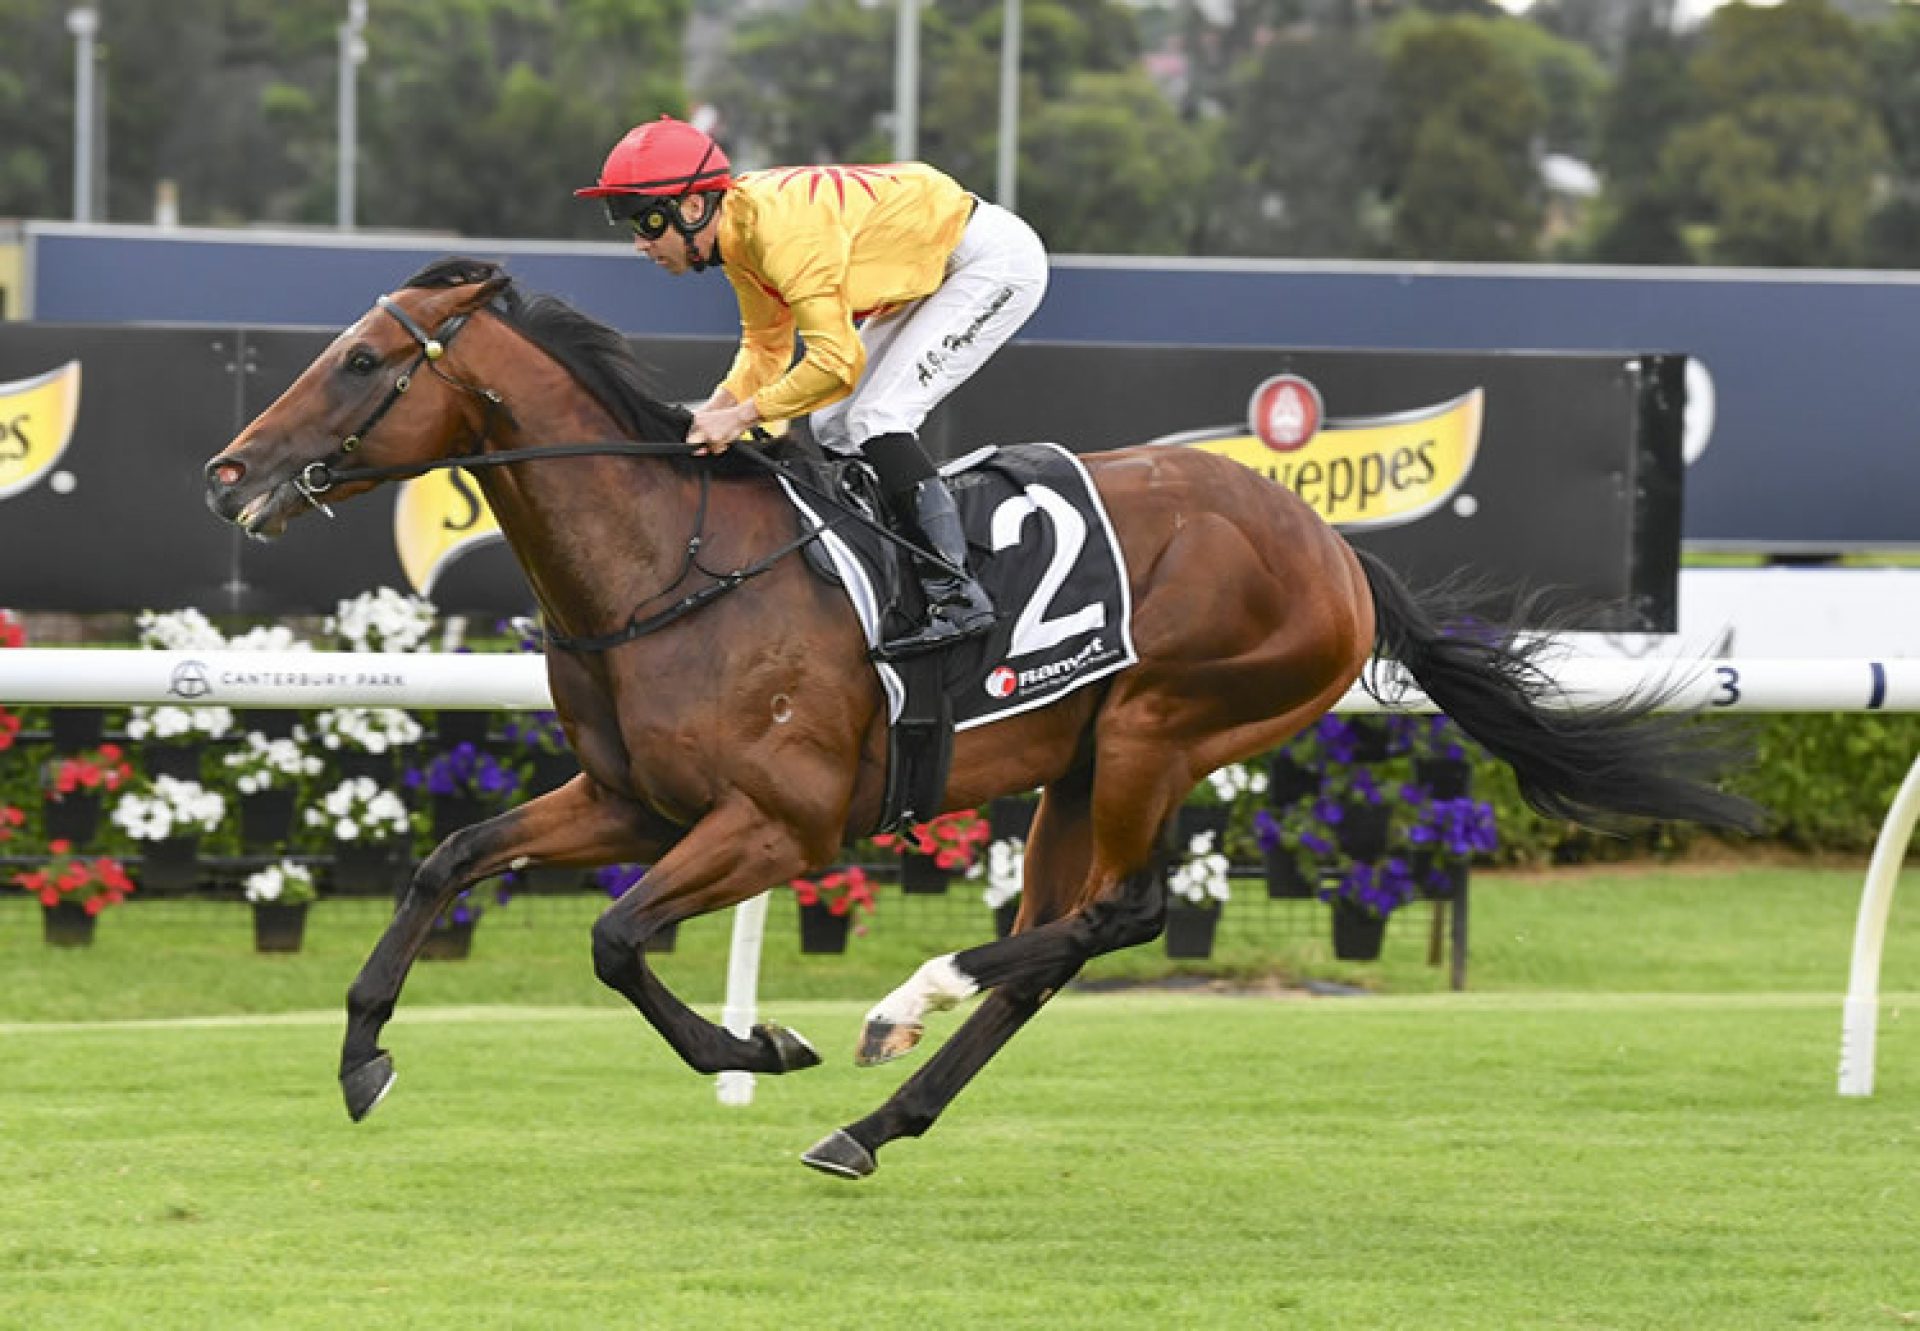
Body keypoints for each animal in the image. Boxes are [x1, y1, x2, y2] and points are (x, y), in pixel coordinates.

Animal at [202, 257, 1758, 1175]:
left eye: (360, 361)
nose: (228, 470)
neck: (673, 565)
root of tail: (1333, 546)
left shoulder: (779, 823)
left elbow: (616, 938)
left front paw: (759, 1046)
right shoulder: (630, 799)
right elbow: (449, 859)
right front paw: (361, 1052)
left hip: (1162, 726)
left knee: (1114, 914)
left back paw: (902, 1007)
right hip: (1080, 762)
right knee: (1053, 947)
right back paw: (875, 1119)